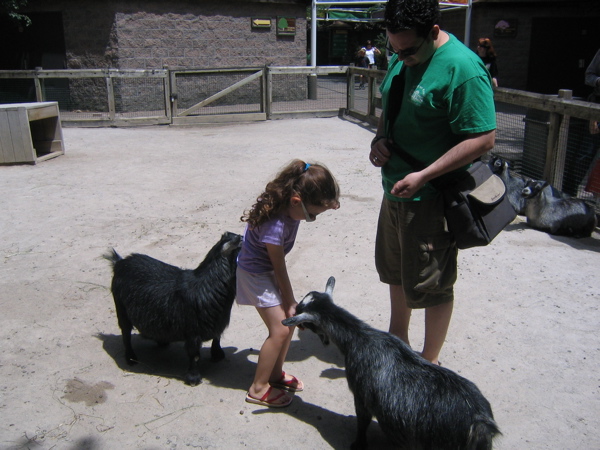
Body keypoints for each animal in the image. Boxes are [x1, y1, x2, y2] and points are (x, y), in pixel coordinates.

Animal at [104, 230, 243, 384]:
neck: (207, 286)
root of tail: (119, 263)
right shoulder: (193, 331)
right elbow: (194, 354)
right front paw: (193, 378)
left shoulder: (217, 323)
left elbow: (217, 338)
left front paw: (217, 355)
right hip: (121, 309)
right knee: (125, 334)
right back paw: (131, 358)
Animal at [284, 278, 500, 450]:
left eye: (302, 313)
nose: (294, 313)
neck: (358, 338)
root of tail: (480, 423)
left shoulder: (361, 395)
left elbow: (362, 422)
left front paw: (358, 444)